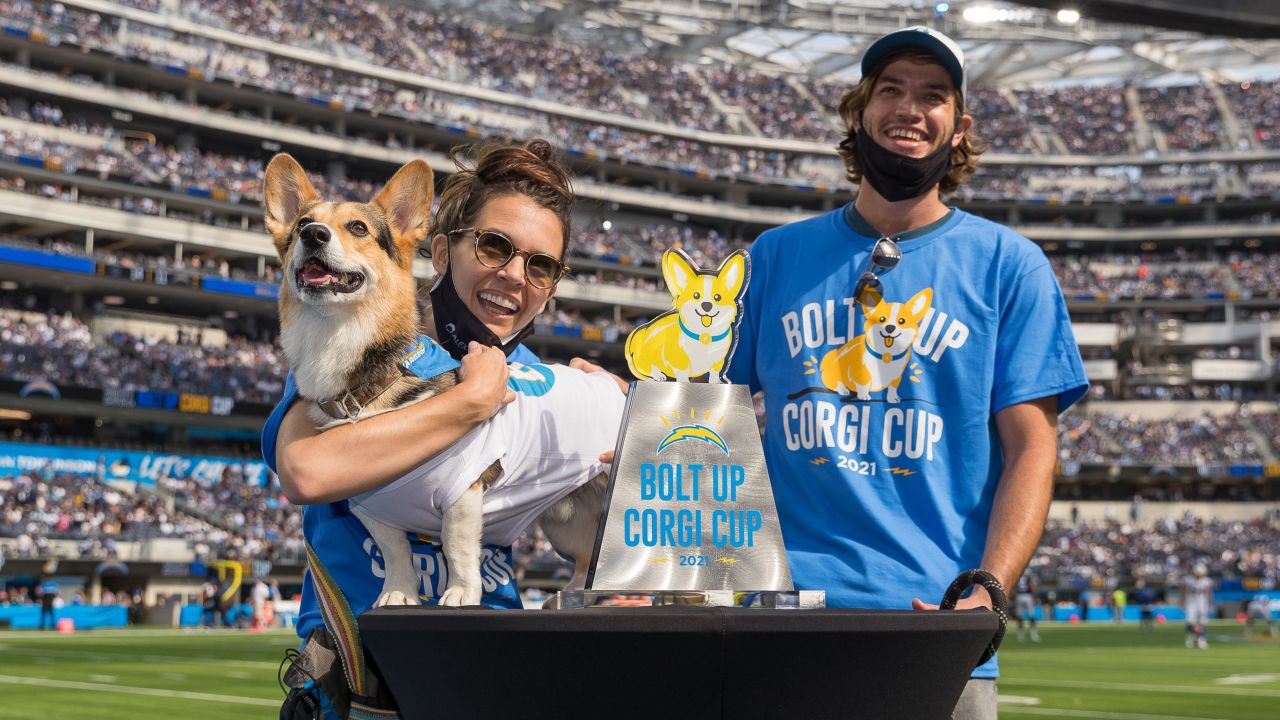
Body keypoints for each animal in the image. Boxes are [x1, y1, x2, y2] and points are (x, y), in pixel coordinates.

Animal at [267, 152, 627, 604]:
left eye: (358, 228)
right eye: (301, 224)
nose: (312, 235)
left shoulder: (463, 494)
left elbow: (457, 549)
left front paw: (459, 594)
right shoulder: (374, 511)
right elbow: (395, 552)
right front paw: (398, 593)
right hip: (568, 521)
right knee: (591, 563)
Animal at [622, 245, 747, 381]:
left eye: (717, 297)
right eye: (696, 295)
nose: (706, 305)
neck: (704, 335)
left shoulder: (719, 362)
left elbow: (715, 374)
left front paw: (717, 382)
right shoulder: (679, 361)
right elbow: (682, 373)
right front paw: (683, 382)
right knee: (647, 367)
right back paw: (658, 375)